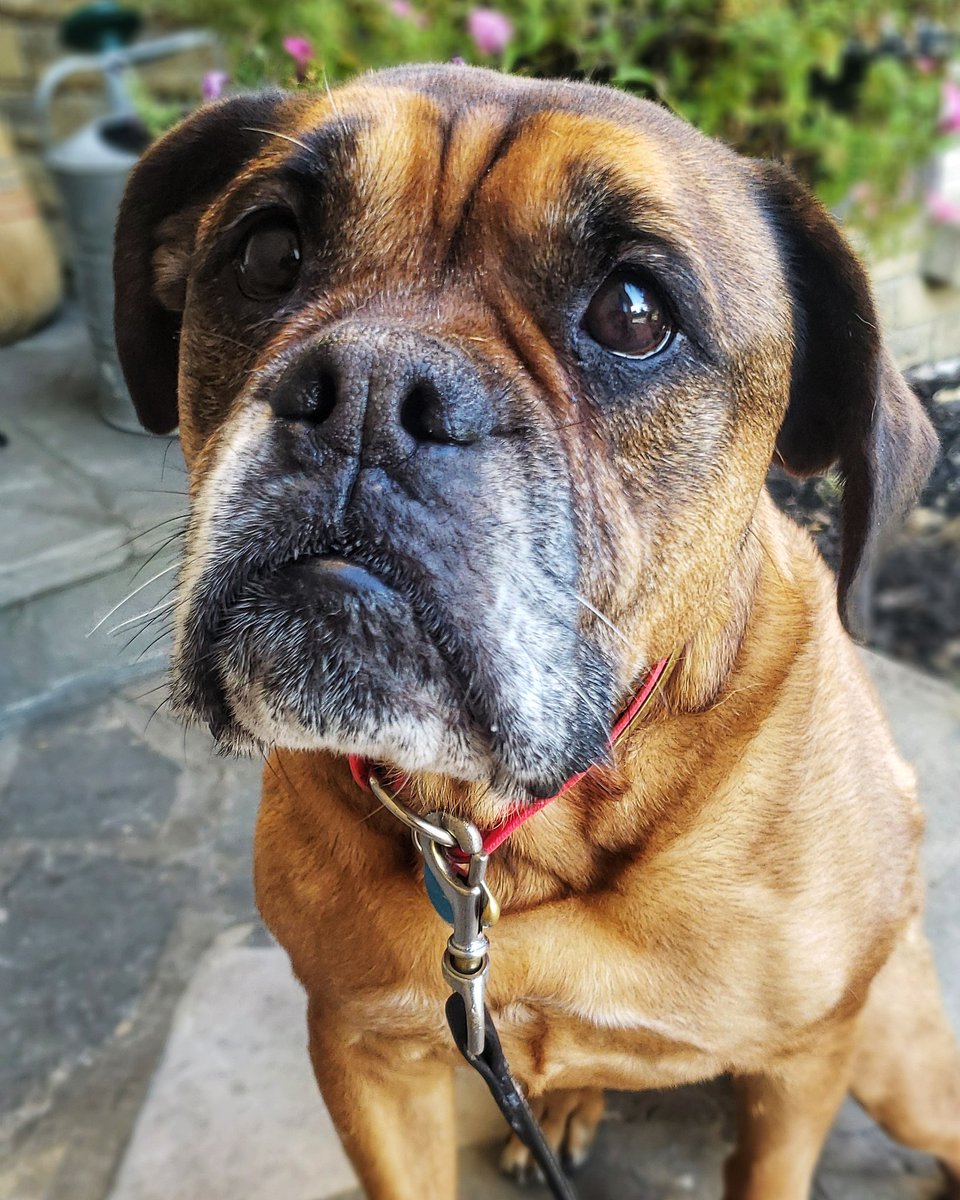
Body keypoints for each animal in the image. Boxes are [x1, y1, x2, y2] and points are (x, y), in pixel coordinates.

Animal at [114, 65, 960, 1200]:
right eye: (267, 253)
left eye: (634, 311)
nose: (370, 389)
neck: (516, 837)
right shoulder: (364, 1053)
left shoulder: (804, 1067)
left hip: (897, 1061)